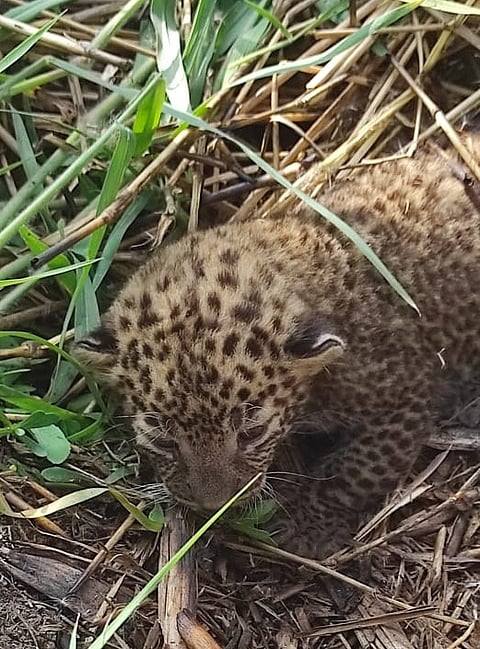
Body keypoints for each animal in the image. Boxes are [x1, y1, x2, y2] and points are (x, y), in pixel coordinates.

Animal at [74, 141, 480, 558]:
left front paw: (307, 525)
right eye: (163, 441)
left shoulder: (405, 396)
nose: (213, 505)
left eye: (252, 433)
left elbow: (358, 471)